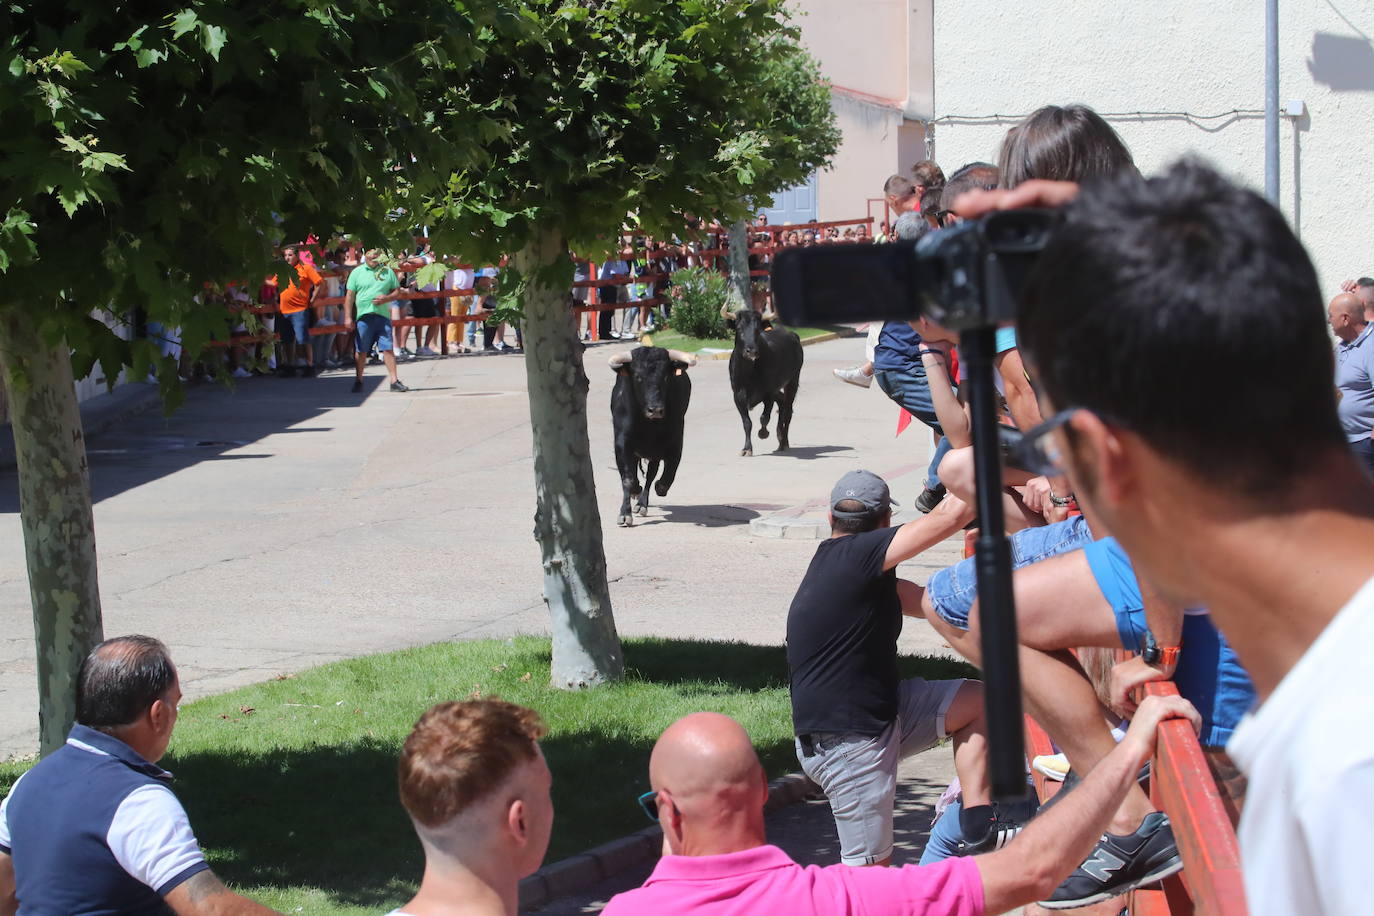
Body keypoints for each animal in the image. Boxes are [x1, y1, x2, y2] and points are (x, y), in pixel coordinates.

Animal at [719, 302, 802, 455]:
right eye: (739, 328)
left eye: (757, 330)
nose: (751, 351)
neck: (749, 371)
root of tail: (792, 335)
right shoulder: (738, 396)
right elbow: (747, 422)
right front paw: (747, 449)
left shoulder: (768, 394)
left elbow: (764, 418)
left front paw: (763, 433)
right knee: (782, 403)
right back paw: (780, 438)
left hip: (793, 381)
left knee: (787, 411)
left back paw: (784, 442)